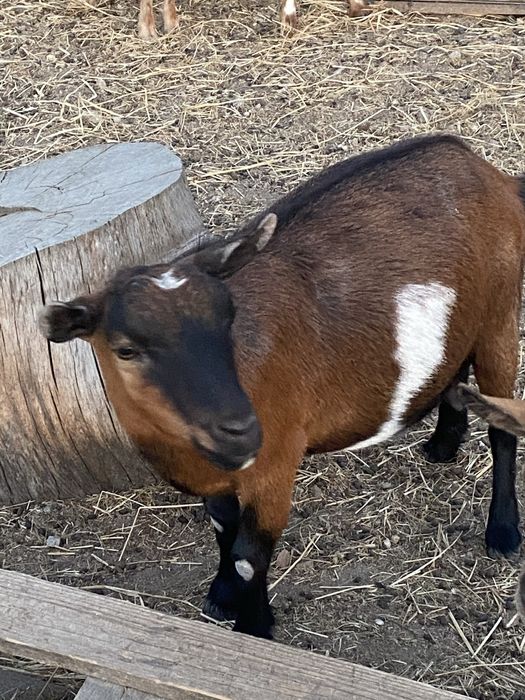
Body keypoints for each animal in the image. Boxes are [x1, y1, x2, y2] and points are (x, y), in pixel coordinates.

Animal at [39, 134, 525, 639]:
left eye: (228, 318)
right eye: (126, 350)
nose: (241, 430)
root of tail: (487, 170)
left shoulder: (275, 463)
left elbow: (249, 557)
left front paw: (254, 628)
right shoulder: (220, 474)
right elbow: (223, 528)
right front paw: (221, 596)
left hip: (501, 313)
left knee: (502, 428)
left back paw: (503, 532)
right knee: (456, 369)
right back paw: (443, 444)